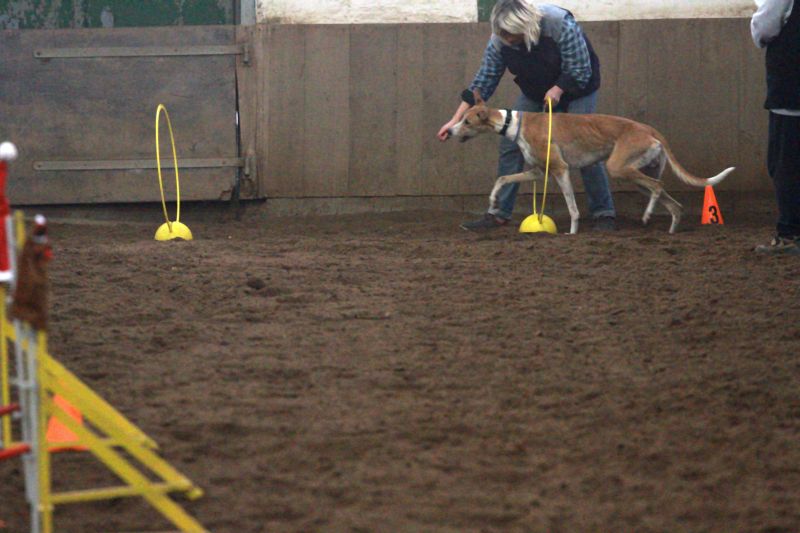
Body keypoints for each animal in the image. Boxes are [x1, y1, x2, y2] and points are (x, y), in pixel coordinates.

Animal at [447, 91, 734, 234]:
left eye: (467, 121)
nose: (449, 131)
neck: (515, 123)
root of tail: (648, 129)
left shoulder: (560, 169)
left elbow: (573, 208)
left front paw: (572, 233)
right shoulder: (538, 172)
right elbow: (503, 178)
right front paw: (493, 202)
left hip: (619, 167)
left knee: (658, 186)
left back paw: (647, 215)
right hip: (637, 172)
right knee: (671, 201)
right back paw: (672, 229)